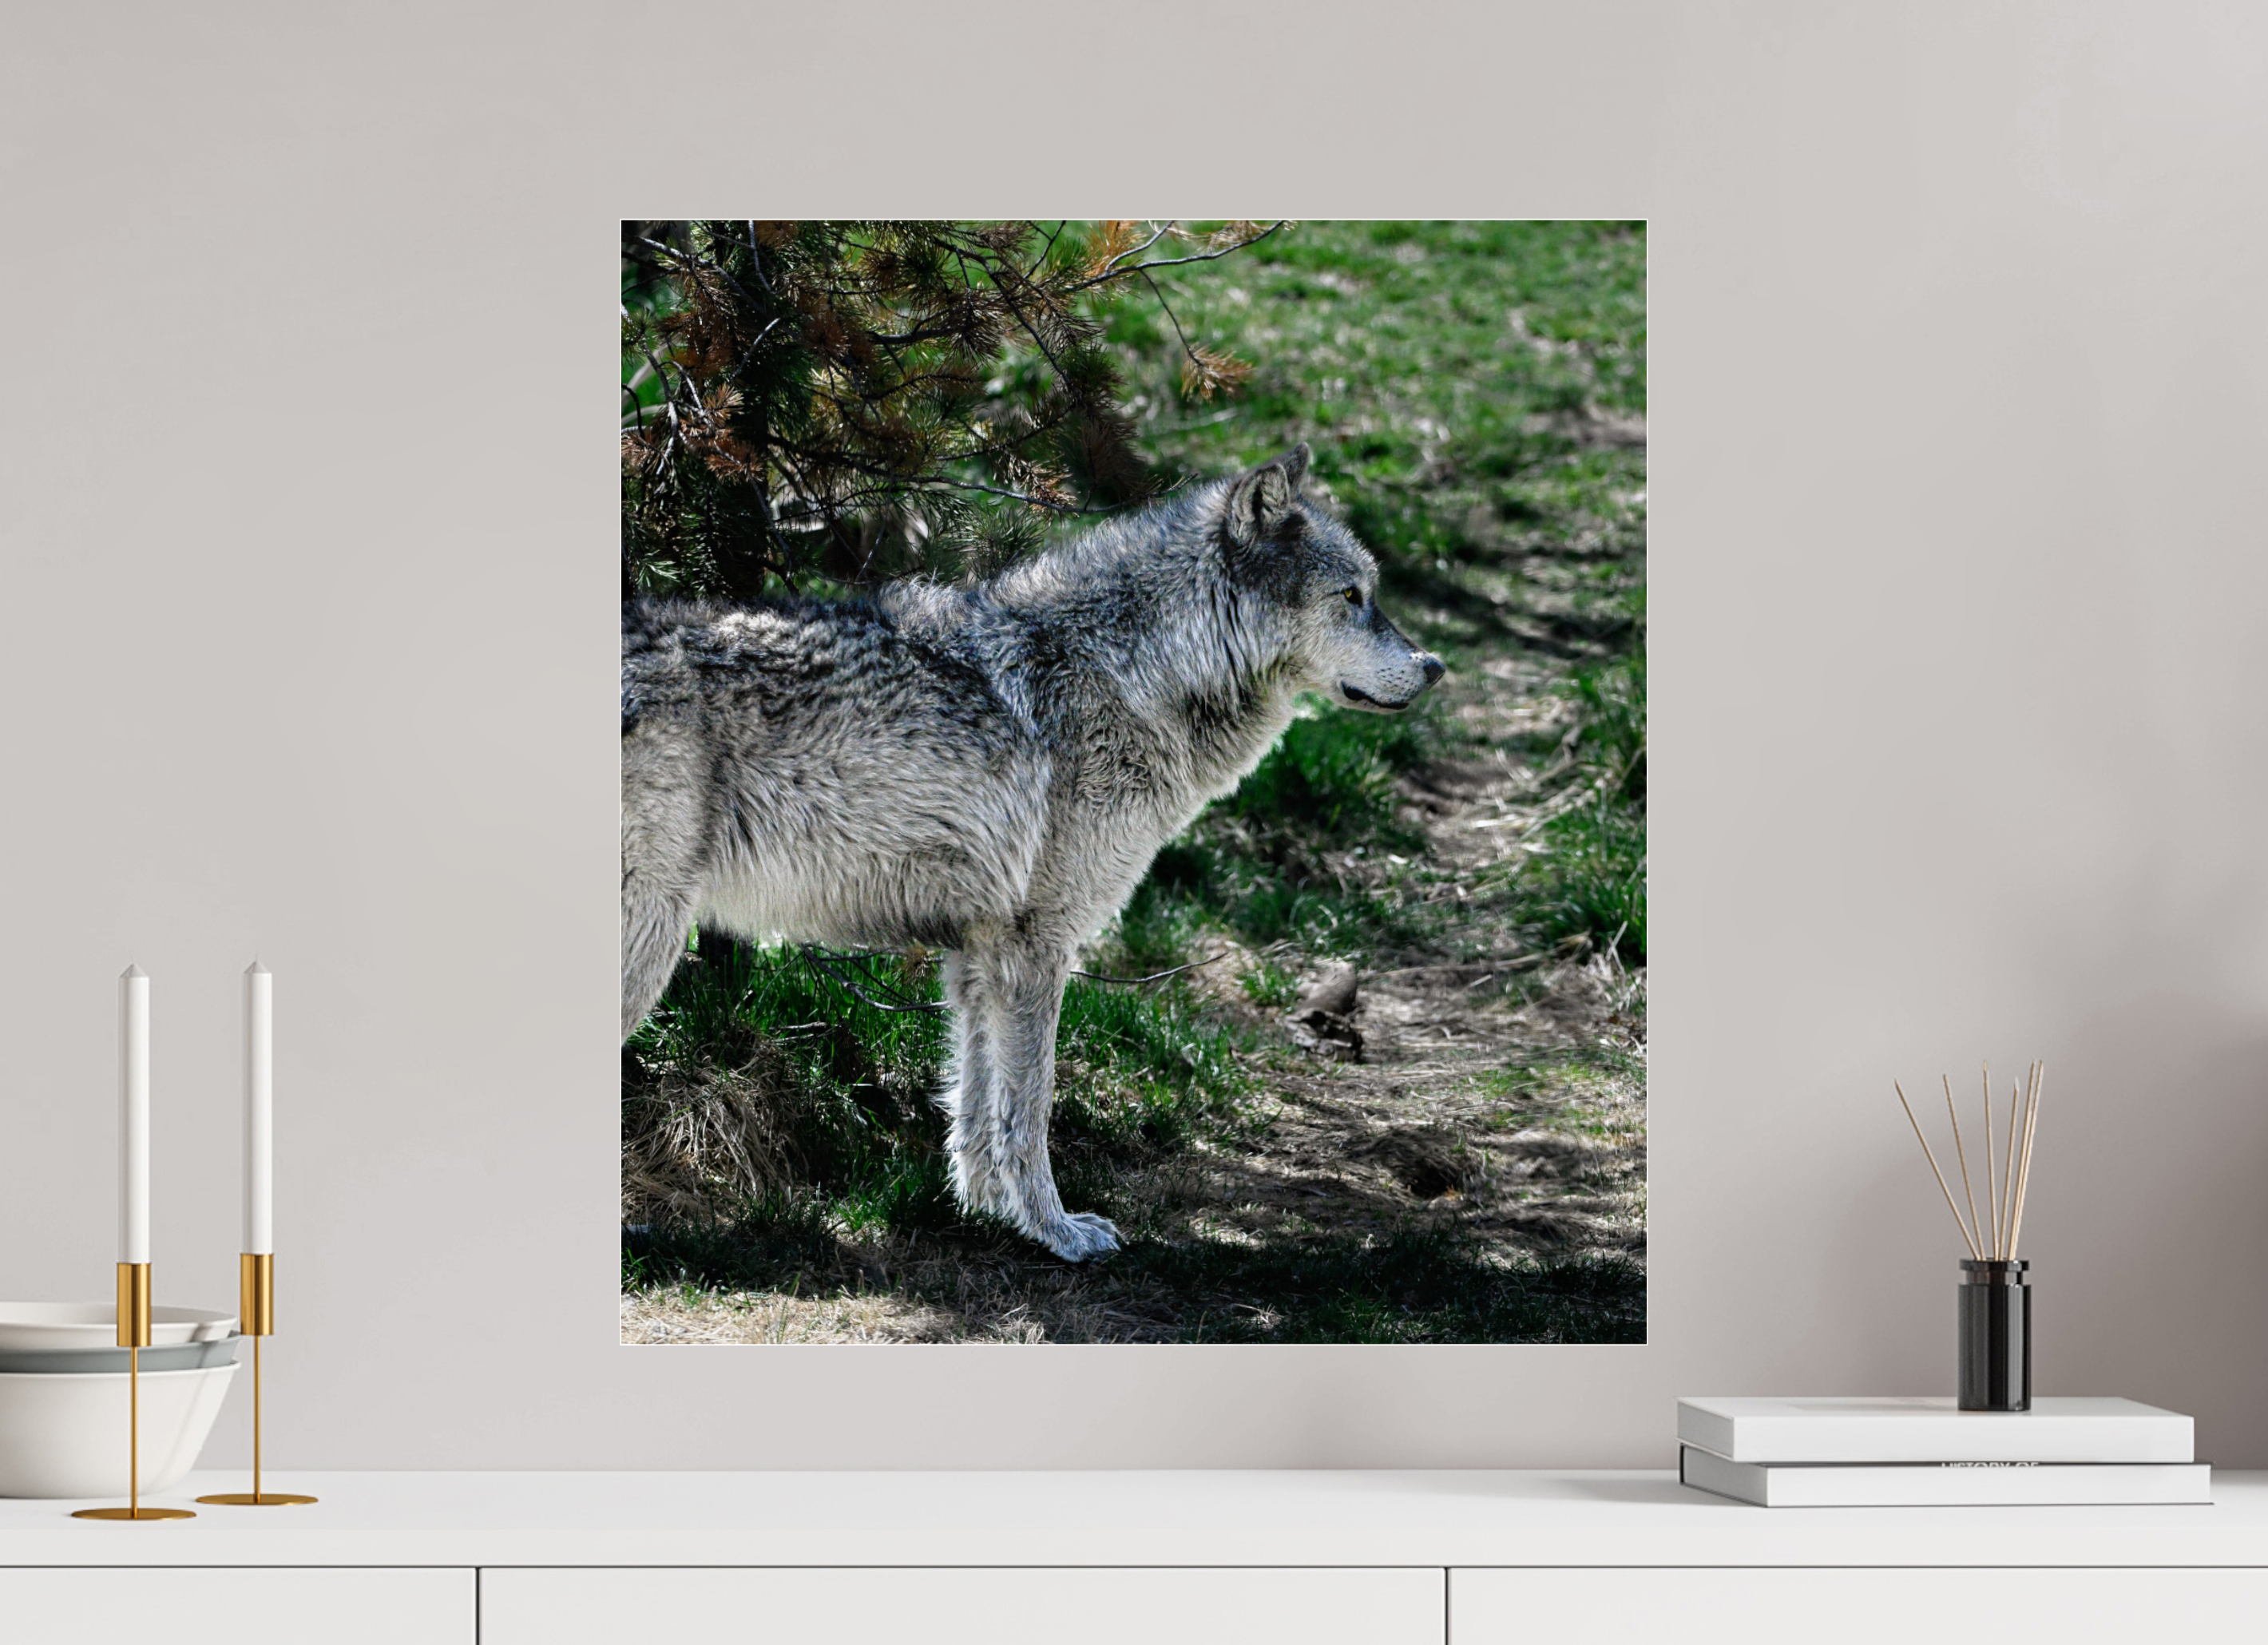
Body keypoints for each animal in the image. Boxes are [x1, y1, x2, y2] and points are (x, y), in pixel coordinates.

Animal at [620, 444, 1443, 1260]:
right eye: (1351, 596)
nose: (1435, 666)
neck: (1134, 675)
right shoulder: (1038, 943)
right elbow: (1032, 1106)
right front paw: (1057, 1231)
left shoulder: (980, 951)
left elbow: (977, 1105)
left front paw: (990, 1212)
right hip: (650, 944)